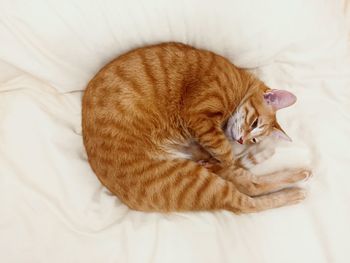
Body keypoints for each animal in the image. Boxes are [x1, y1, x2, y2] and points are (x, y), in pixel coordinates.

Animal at [82, 41, 312, 214]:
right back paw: (294, 192)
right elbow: (227, 156)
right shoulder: (198, 117)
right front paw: (223, 157)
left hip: (193, 179)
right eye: (254, 123)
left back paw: (298, 179)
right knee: (247, 196)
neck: (238, 83)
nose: (241, 140)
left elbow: (227, 159)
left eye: (254, 139)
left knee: (247, 186)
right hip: (193, 180)